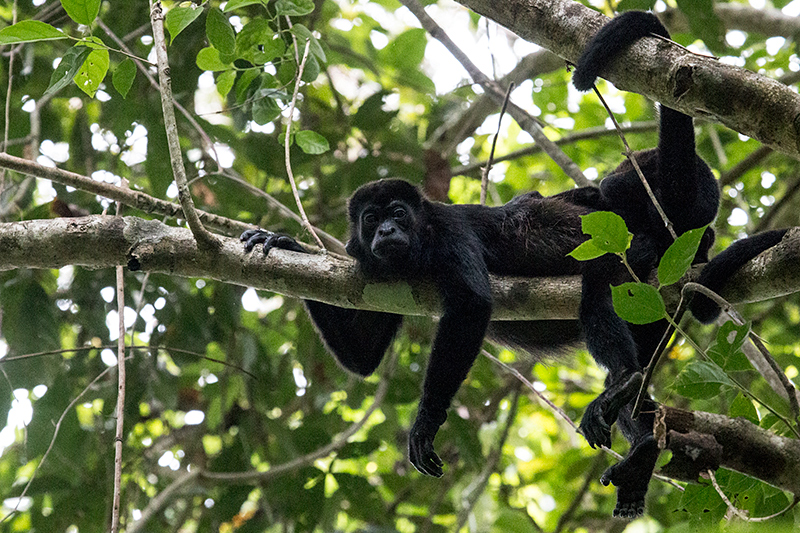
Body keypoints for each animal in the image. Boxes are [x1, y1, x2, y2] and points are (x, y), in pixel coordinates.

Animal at [242, 10, 780, 516]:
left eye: (397, 214)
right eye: (371, 219)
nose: (386, 233)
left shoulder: (448, 229)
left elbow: (472, 305)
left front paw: (425, 424)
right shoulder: (366, 266)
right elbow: (363, 358)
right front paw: (283, 242)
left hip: (639, 242)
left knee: (600, 285)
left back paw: (624, 382)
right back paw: (643, 443)